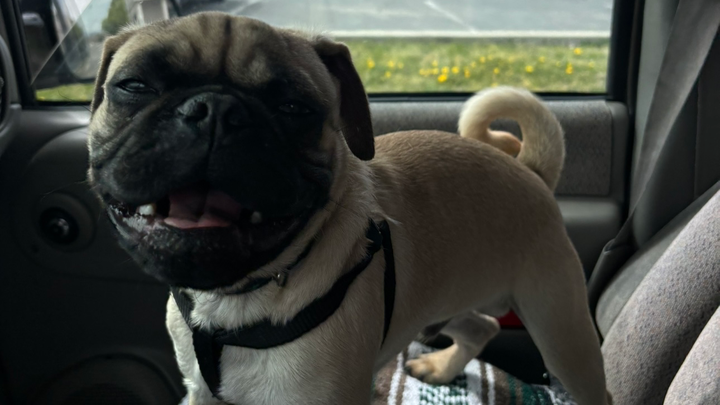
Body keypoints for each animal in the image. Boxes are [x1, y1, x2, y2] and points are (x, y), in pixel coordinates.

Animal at [87, 12, 609, 405]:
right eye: (134, 86)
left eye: (295, 108)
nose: (214, 110)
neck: (240, 297)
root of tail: (530, 172)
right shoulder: (199, 393)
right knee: (481, 325)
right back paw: (440, 368)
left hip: (562, 331)